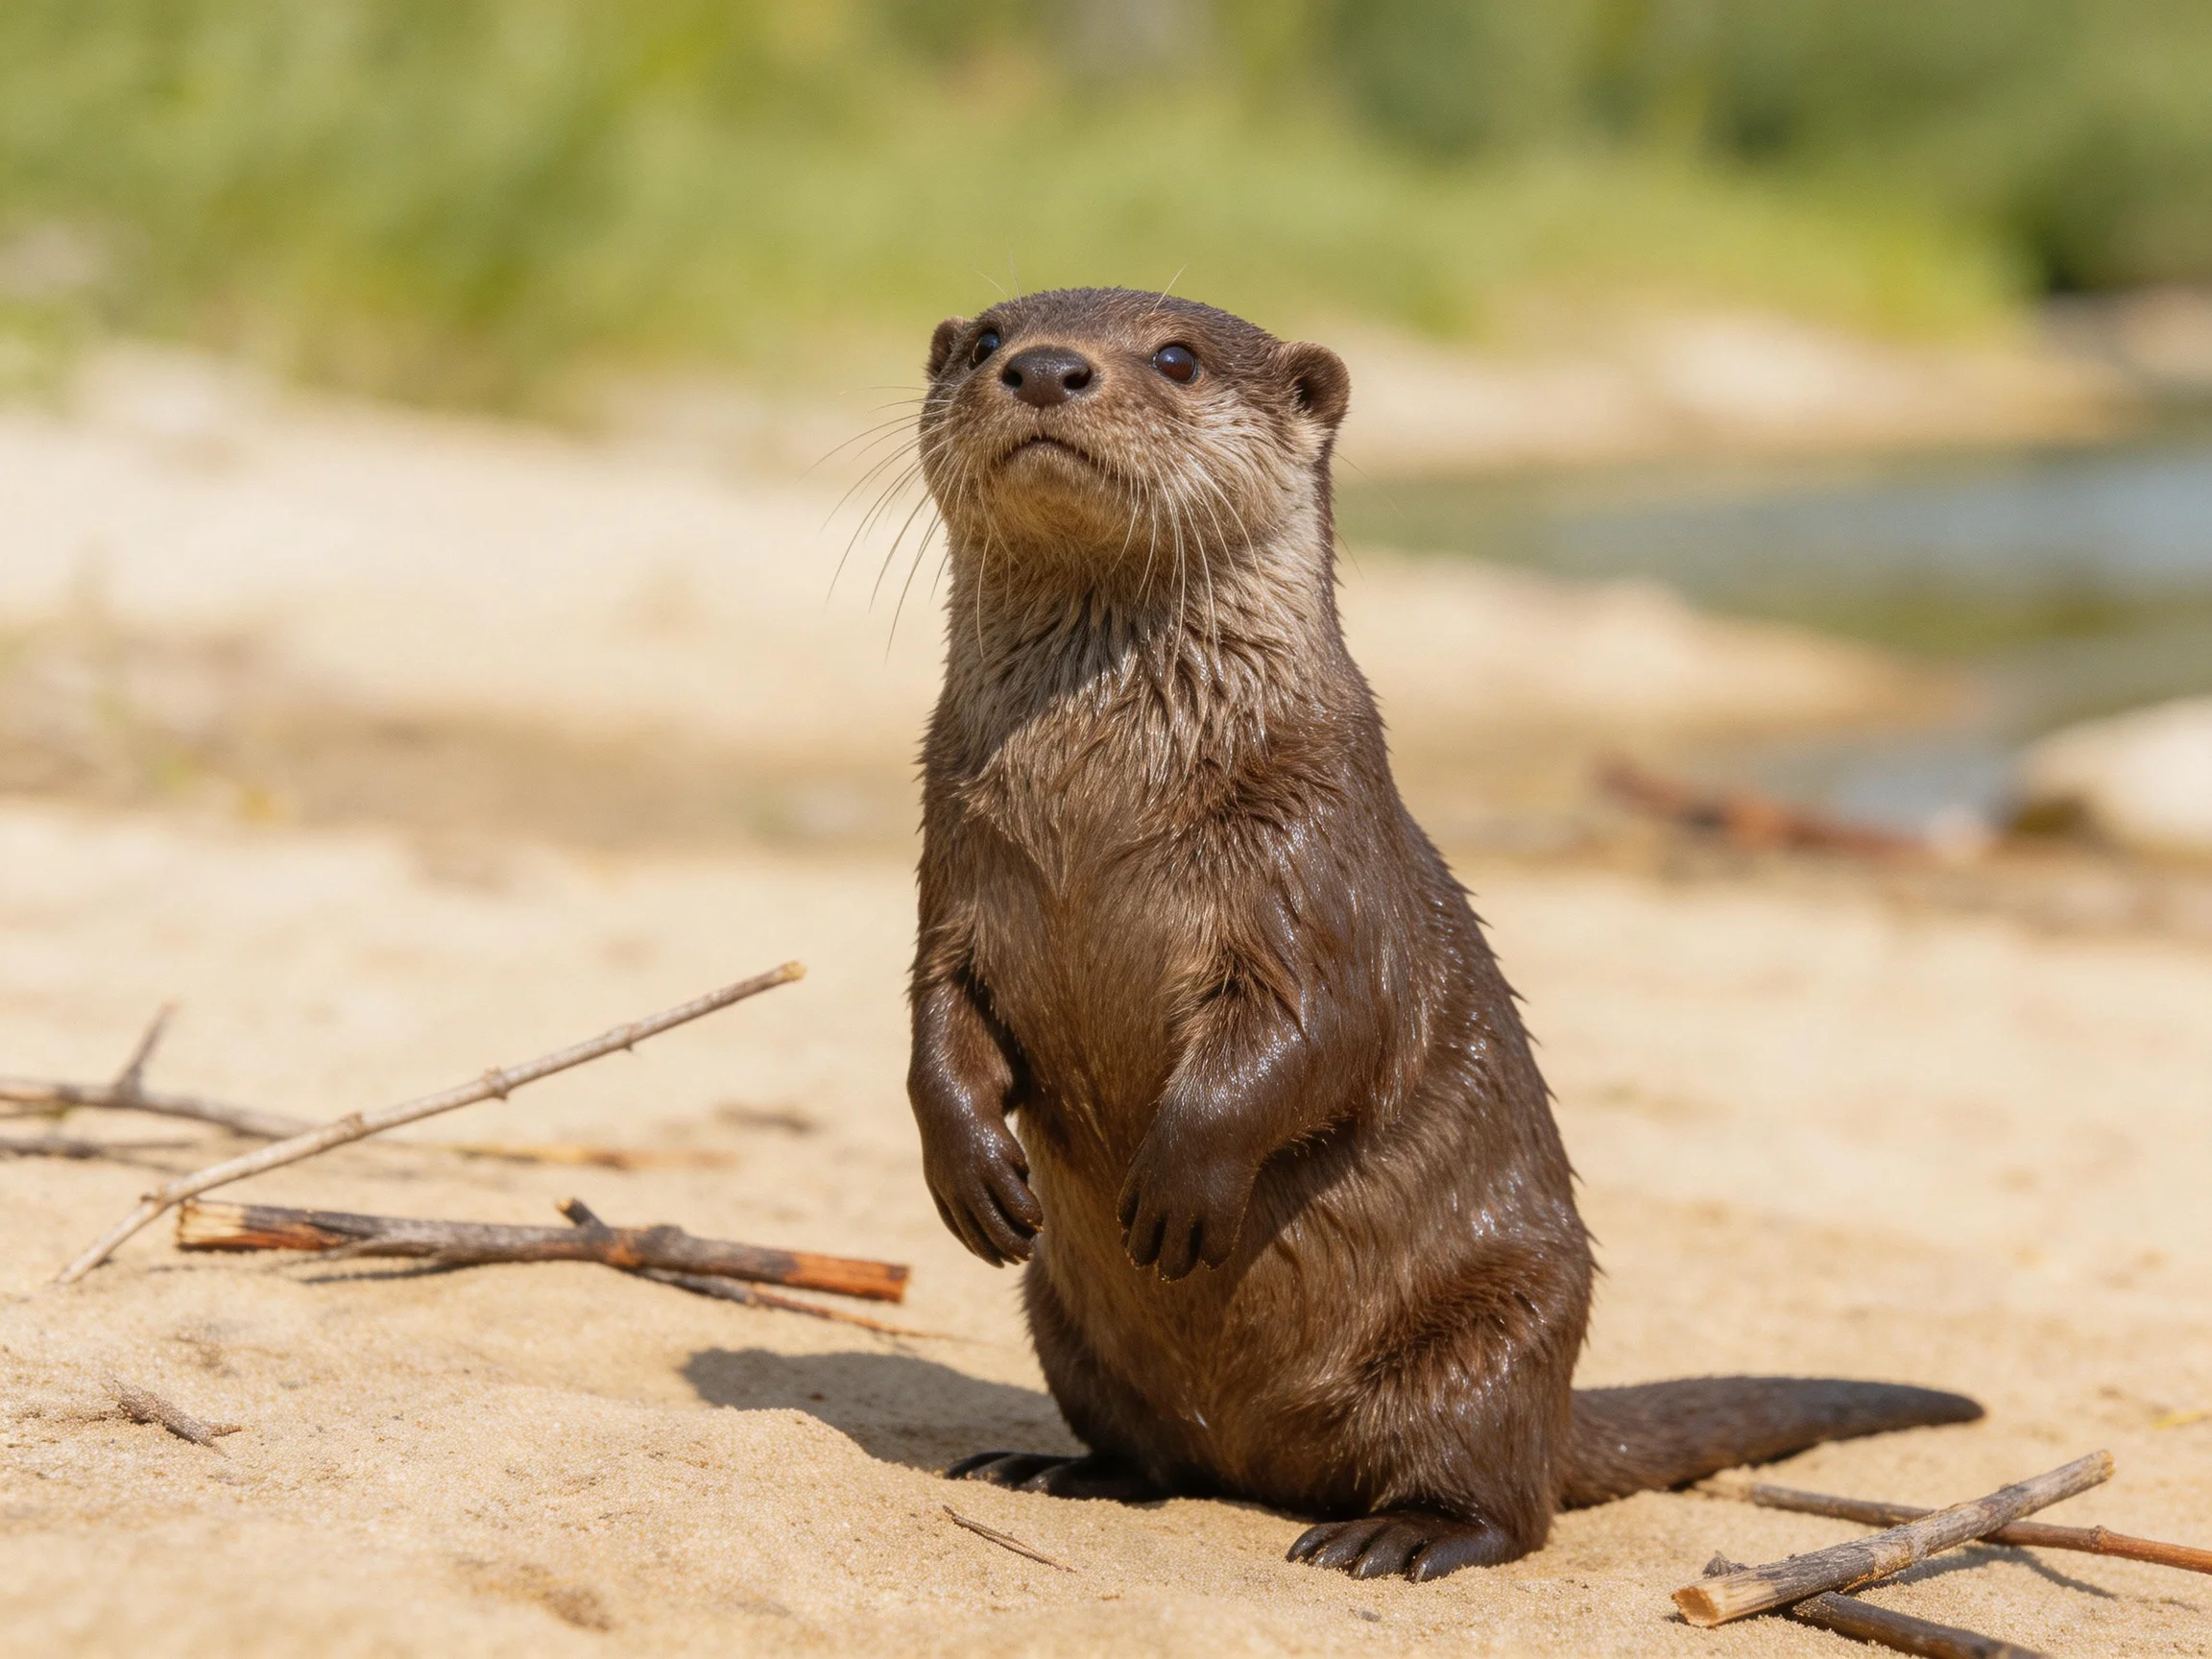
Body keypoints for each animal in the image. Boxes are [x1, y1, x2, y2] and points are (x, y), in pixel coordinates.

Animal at [904, 287, 1978, 1582]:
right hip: (1061, 1320)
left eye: (1176, 356)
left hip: (1499, 1327)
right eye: (985, 338)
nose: (1045, 368)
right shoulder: (953, 876)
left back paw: (1398, 1532)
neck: (1096, 809)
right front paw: (969, 1166)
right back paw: (1058, 1466)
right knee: (1151, 1455)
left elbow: (1320, 1035)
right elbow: (935, 1022)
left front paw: (1178, 1183)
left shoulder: (1317, 874)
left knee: (1510, 1505)